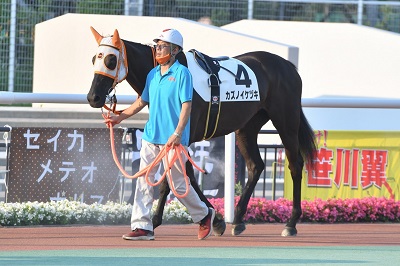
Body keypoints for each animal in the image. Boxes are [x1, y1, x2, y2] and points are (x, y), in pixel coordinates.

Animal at [86, 27, 316, 237]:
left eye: (111, 60)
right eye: (94, 59)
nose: (93, 97)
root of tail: (288, 66)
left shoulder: (181, 137)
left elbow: (176, 179)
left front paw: (158, 220)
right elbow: (187, 176)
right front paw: (216, 218)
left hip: (286, 121)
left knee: (295, 165)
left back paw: (291, 223)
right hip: (247, 126)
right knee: (255, 166)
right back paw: (238, 219)